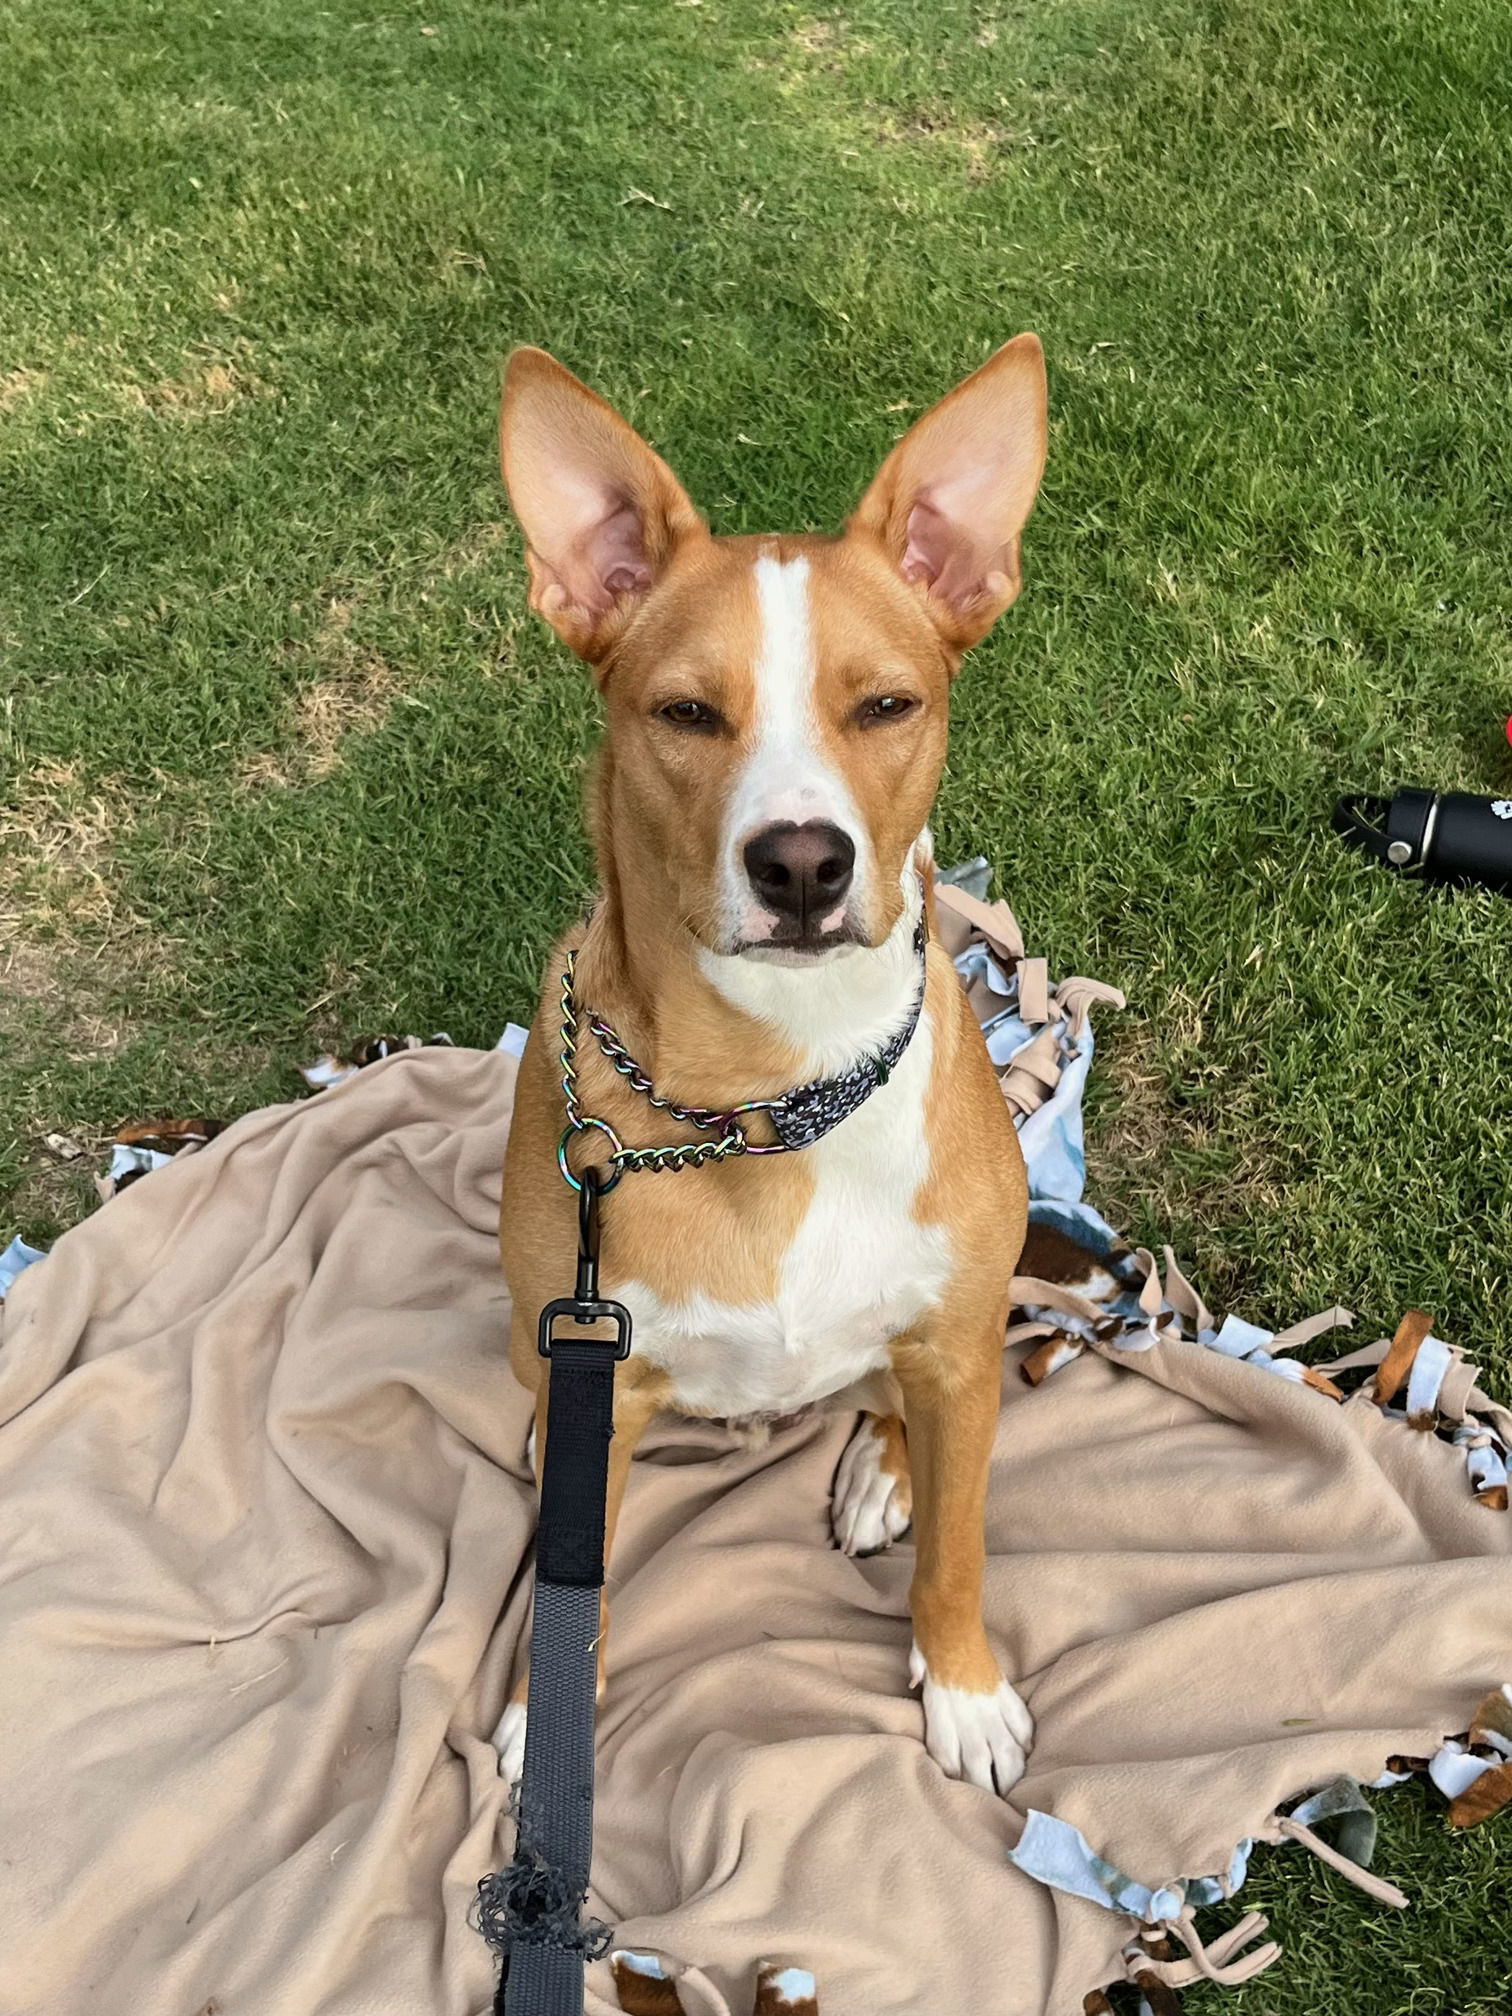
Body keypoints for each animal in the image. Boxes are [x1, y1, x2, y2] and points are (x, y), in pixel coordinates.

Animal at [497, 330, 1056, 1798]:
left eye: (888, 704)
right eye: (687, 712)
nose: (800, 865)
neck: (769, 1096)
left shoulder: (960, 1343)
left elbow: (962, 1550)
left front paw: (961, 1688)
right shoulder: (598, 1380)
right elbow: (573, 1569)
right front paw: (540, 1706)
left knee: (910, 1416)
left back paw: (883, 1473)